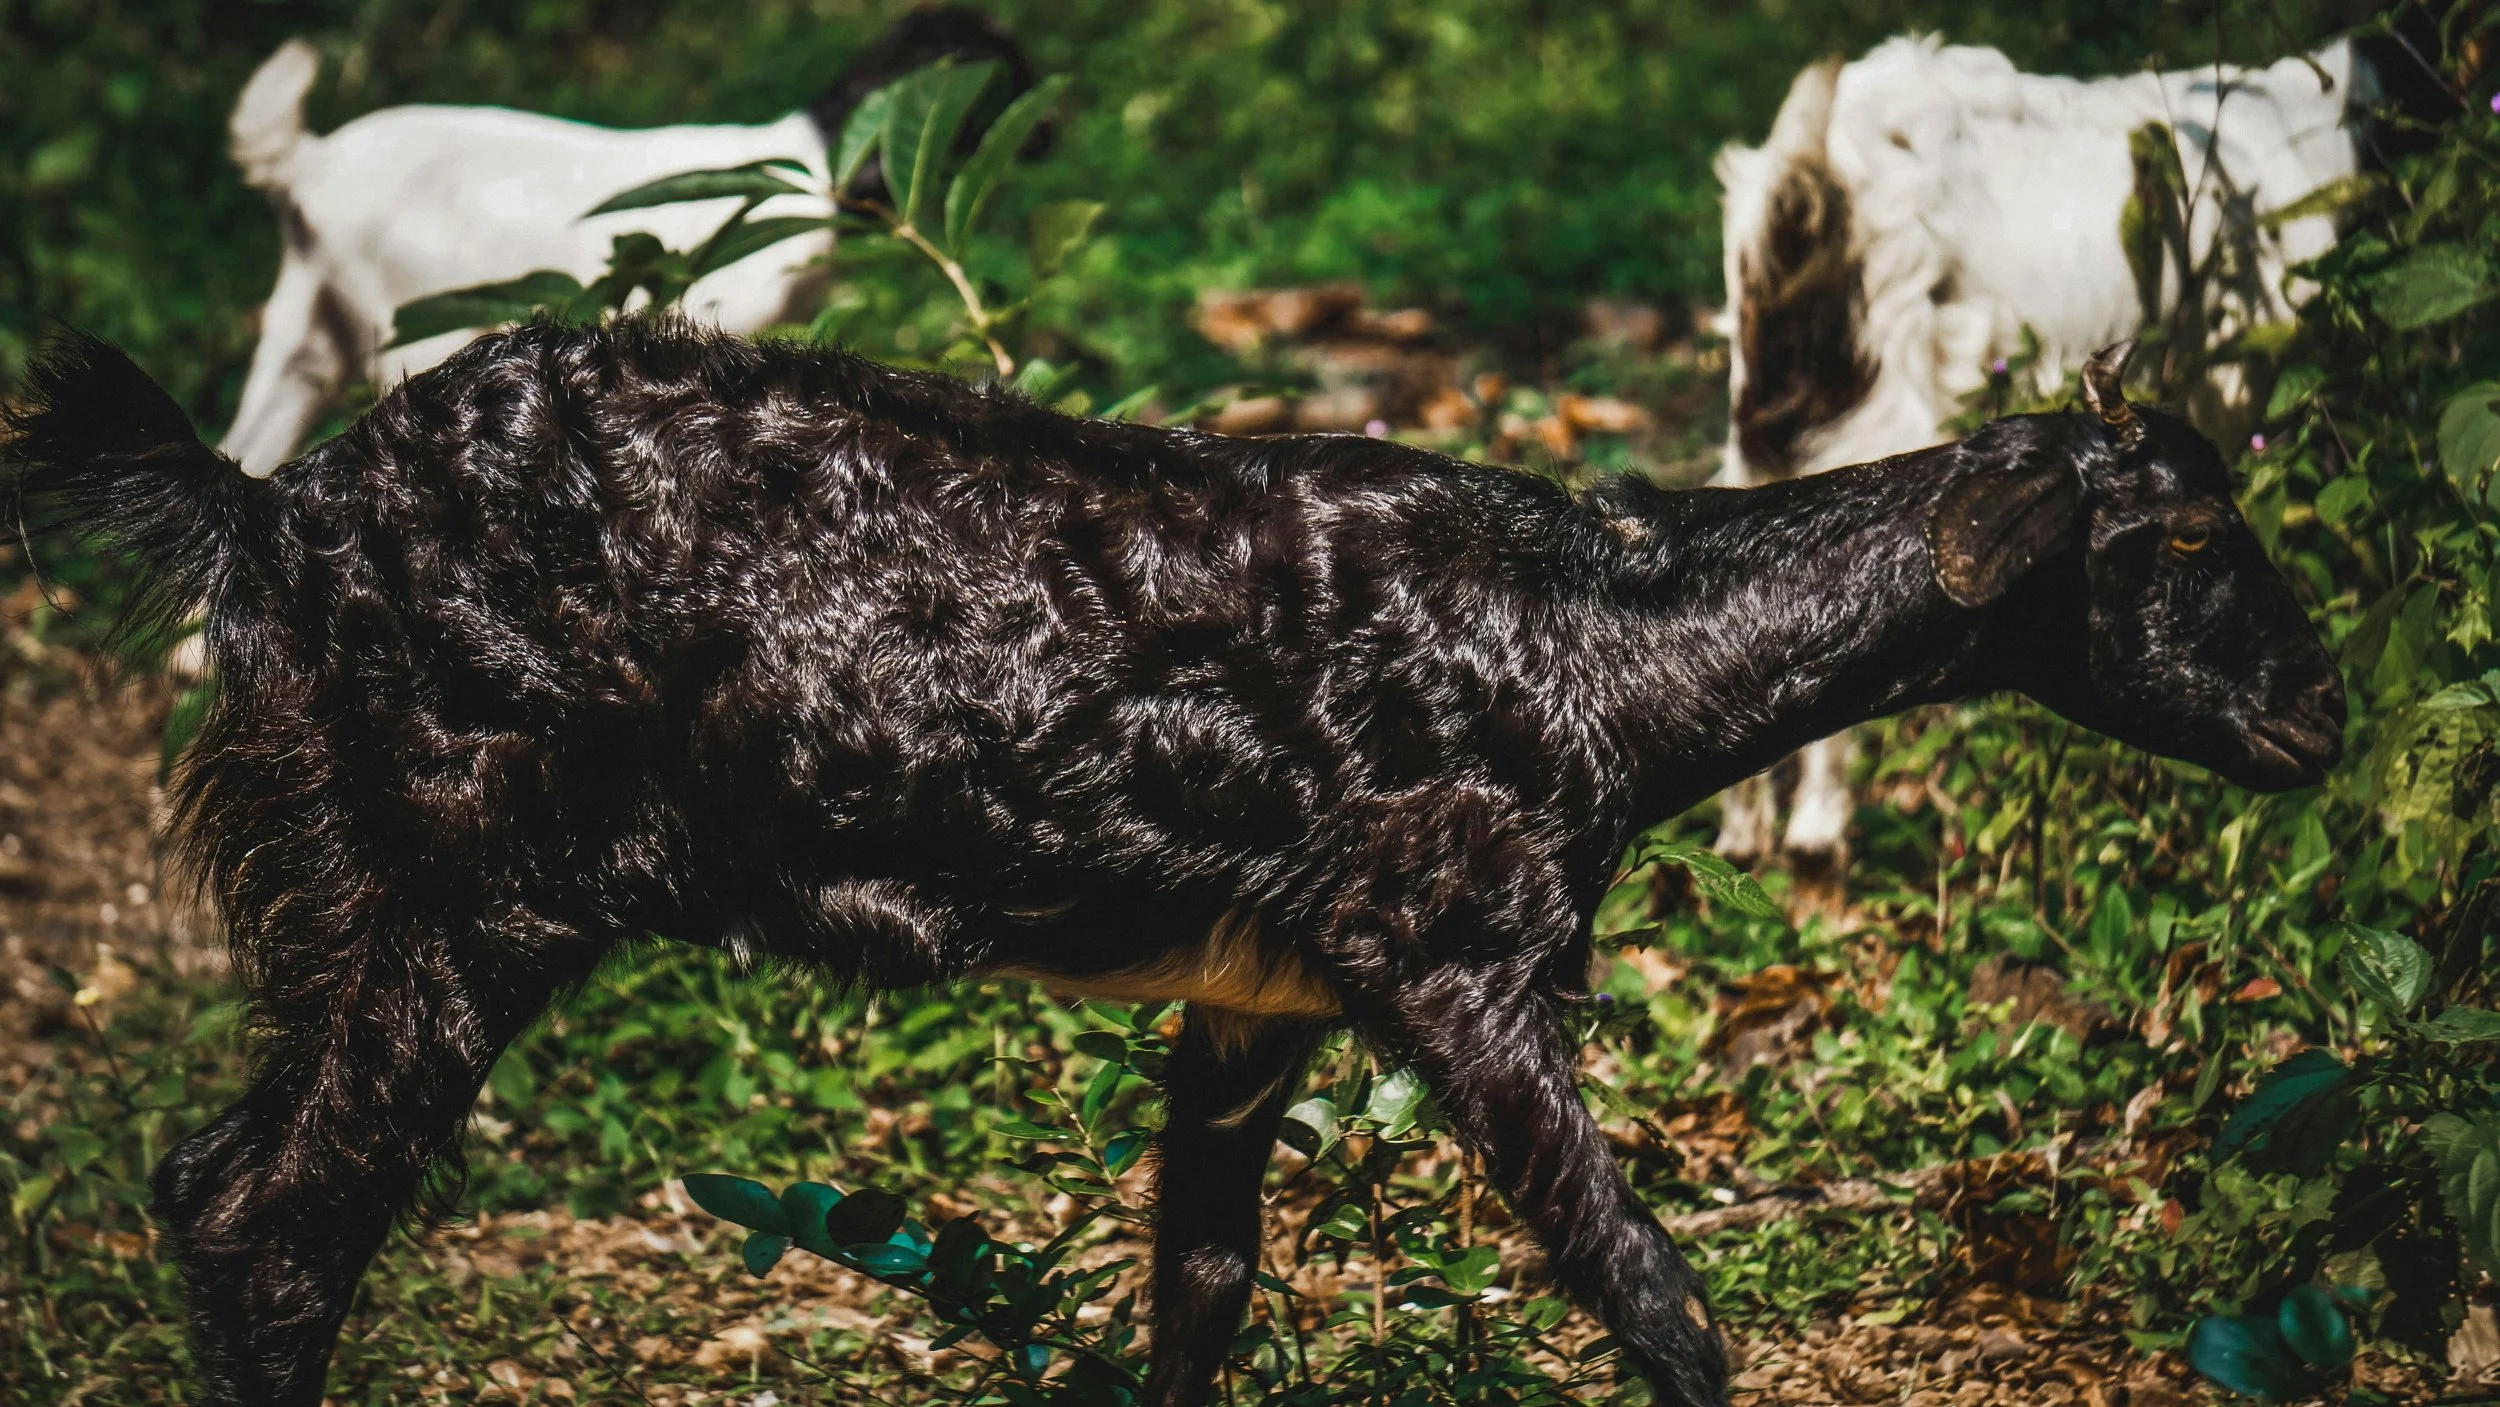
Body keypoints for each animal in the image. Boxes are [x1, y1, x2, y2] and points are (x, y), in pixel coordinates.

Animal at [4, 322, 2342, 1407]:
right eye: (2177, 549)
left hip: (355, 875)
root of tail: (271, 516)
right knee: (285, 1220)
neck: (1608, 646)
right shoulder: (1452, 953)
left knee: (211, 1181)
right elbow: (1655, 1296)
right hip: (469, 867)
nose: (2319, 722)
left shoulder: (1249, 1002)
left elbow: (1198, 1296)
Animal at [1708, 24, 2442, 869]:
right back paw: (1818, 830)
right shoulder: (2241, 380)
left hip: (1758, 424)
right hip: (1886, 405)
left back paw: (1744, 836)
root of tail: (1808, 180)